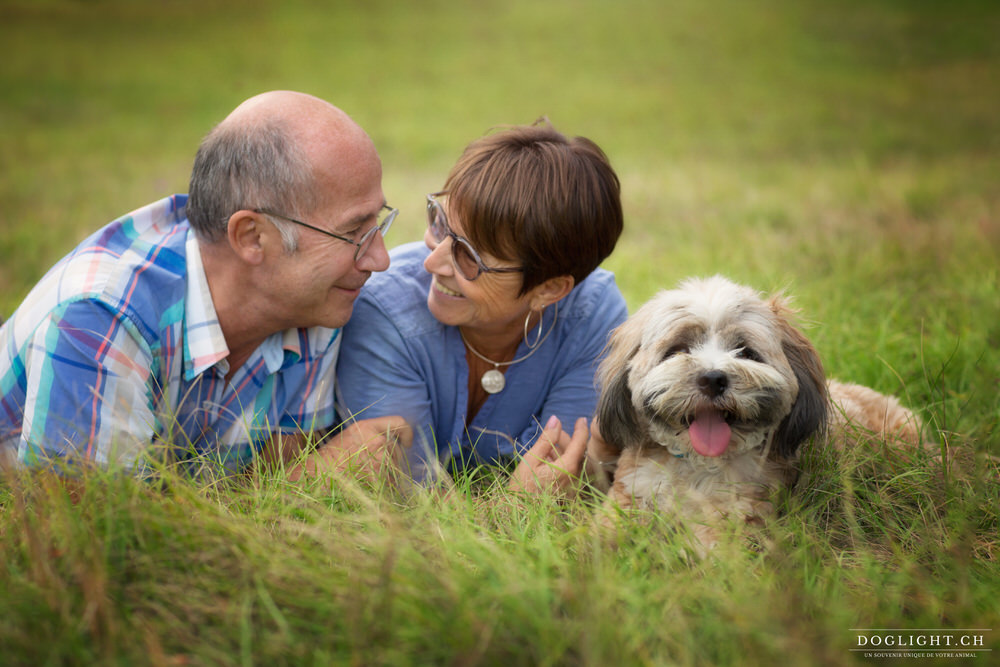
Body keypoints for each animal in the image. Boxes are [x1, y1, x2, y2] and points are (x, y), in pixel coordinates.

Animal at [588, 274, 924, 556]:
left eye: (746, 352)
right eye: (678, 350)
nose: (713, 378)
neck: (698, 467)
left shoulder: (740, 516)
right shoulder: (630, 496)